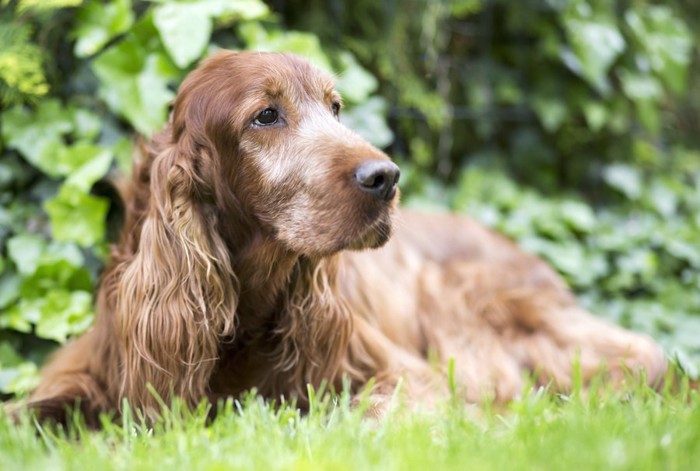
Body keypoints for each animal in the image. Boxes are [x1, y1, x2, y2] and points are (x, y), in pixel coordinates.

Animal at [23, 51, 668, 428]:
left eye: (335, 108)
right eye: (265, 115)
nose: (386, 177)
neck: (245, 311)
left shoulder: (406, 374)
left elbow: (364, 410)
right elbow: (31, 414)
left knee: (639, 360)